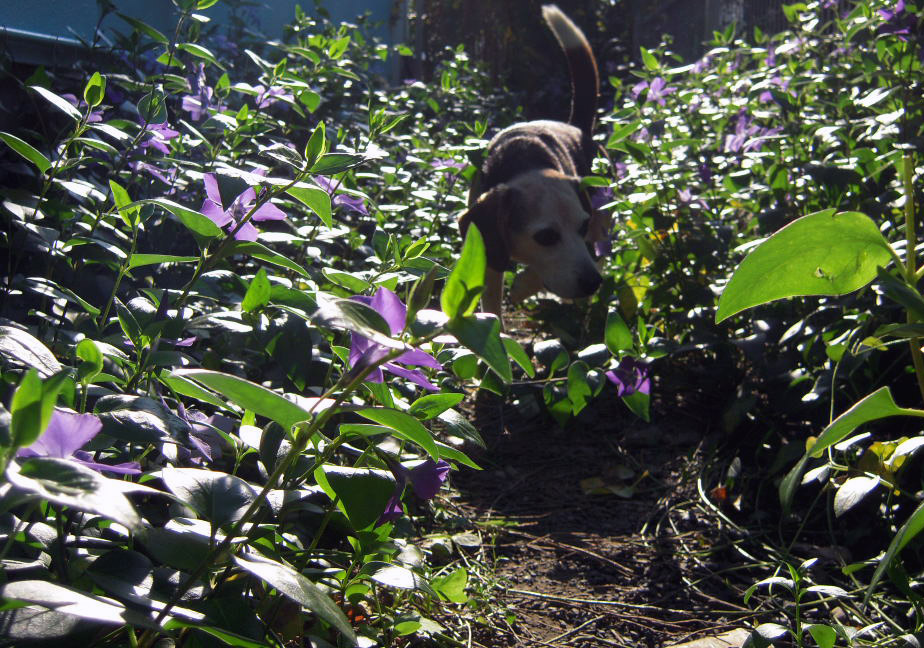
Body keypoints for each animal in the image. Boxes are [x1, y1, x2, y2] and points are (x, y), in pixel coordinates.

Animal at [460, 3, 608, 330]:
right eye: (546, 237)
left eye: (582, 226)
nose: (594, 283)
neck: (527, 164)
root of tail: (577, 126)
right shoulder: (489, 255)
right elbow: (492, 304)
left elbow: (536, 276)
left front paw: (523, 287)